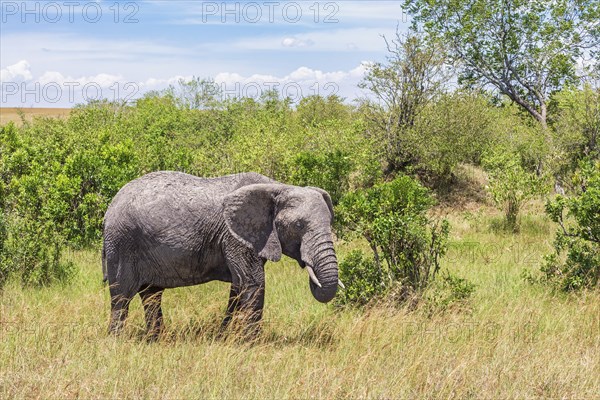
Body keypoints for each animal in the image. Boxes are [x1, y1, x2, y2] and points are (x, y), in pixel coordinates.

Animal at [101, 170, 340, 340]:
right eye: (298, 226)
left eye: (330, 222)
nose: (308, 265)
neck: (278, 187)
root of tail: (110, 206)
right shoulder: (234, 237)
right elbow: (253, 283)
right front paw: (254, 344)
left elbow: (238, 287)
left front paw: (223, 336)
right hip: (121, 243)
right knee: (122, 296)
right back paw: (116, 341)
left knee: (151, 294)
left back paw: (156, 339)